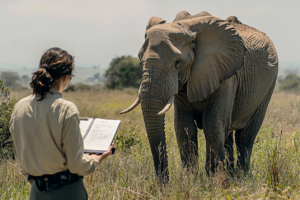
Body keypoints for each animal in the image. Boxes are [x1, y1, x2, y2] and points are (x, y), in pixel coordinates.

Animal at [120, 10, 278, 180]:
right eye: (140, 61)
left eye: (178, 63)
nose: (163, 182)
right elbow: (184, 126)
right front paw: (190, 179)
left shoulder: (225, 76)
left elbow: (212, 124)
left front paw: (213, 180)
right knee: (228, 134)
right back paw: (231, 175)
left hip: (269, 85)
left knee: (245, 135)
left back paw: (241, 177)